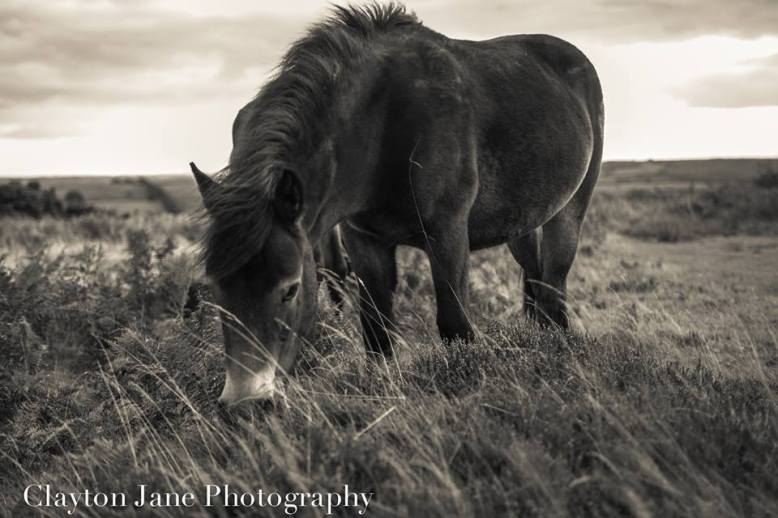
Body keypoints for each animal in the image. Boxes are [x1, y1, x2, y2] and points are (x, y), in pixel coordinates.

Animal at [191, 2, 604, 406]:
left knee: (554, 284)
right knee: (534, 274)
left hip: (569, 211)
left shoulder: (448, 235)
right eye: (216, 289)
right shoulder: (365, 240)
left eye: (290, 289)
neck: (381, 124)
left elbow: (455, 326)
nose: (245, 402)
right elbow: (376, 333)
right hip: (521, 221)